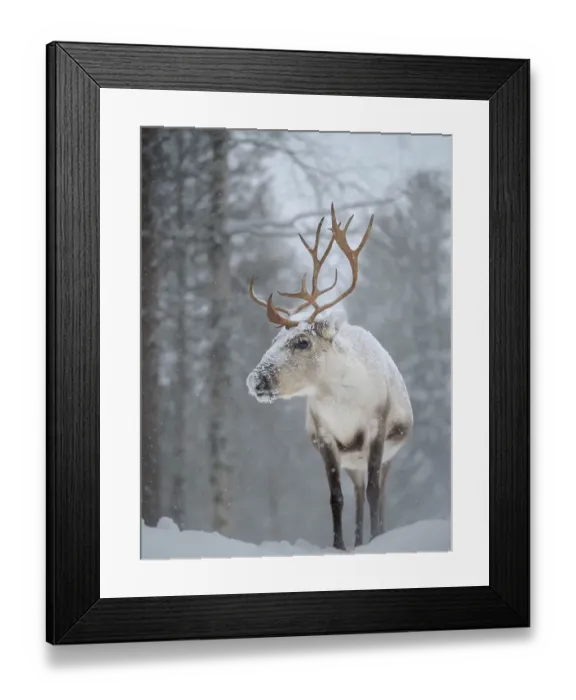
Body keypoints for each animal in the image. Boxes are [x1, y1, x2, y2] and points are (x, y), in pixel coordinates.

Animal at [246, 203, 413, 552]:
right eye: (274, 340)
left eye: (302, 341)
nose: (255, 380)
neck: (343, 407)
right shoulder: (326, 438)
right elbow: (336, 498)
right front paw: (339, 546)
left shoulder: (377, 429)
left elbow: (376, 492)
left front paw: (377, 540)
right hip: (354, 464)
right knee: (359, 494)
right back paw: (359, 540)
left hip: (390, 455)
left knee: (379, 492)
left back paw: (377, 533)